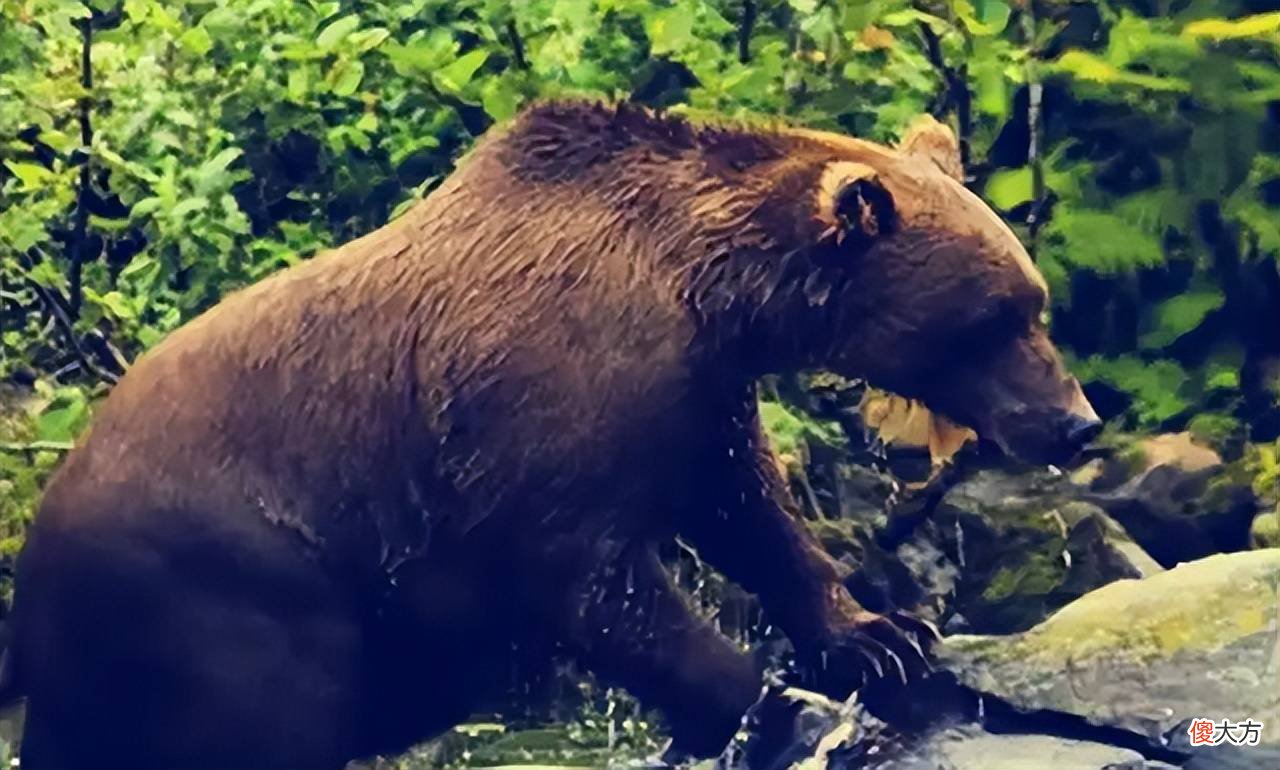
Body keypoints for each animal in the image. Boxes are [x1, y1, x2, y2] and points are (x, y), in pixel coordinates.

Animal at [0, 102, 1100, 770]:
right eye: (994, 318)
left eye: (1031, 301)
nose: (1074, 421)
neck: (702, 290)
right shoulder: (536, 410)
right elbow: (594, 583)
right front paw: (775, 705)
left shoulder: (696, 393)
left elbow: (748, 510)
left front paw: (881, 635)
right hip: (233, 587)